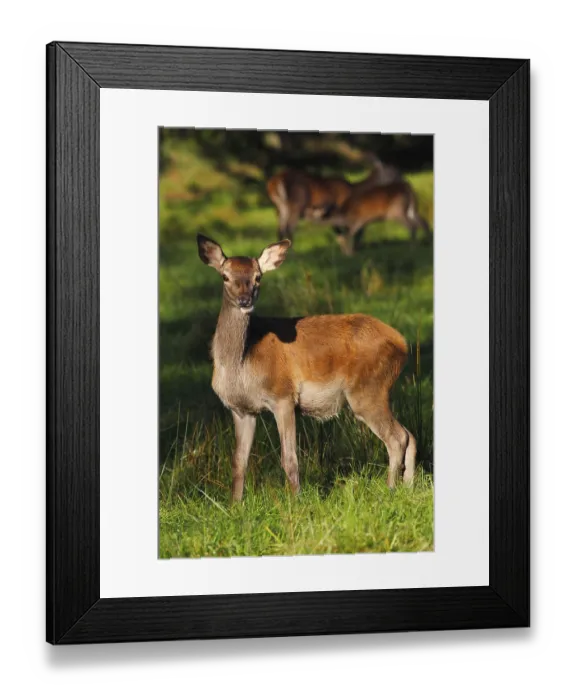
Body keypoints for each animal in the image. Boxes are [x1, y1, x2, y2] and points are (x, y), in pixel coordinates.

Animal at [197, 233, 417, 502]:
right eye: (225, 276)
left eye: (258, 277)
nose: (244, 300)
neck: (241, 363)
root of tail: (402, 343)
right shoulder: (241, 409)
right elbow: (239, 461)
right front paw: (234, 505)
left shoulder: (282, 395)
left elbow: (289, 459)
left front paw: (296, 501)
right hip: (378, 391)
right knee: (410, 435)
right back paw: (408, 486)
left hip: (367, 389)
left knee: (397, 438)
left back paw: (390, 489)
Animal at [266, 153, 401, 244]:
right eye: (392, 171)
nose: (400, 179)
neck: (354, 189)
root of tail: (275, 181)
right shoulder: (341, 208)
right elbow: (348, 230)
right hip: (296, 204)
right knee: (289, 228)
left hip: (279, 207)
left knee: (280, 229)